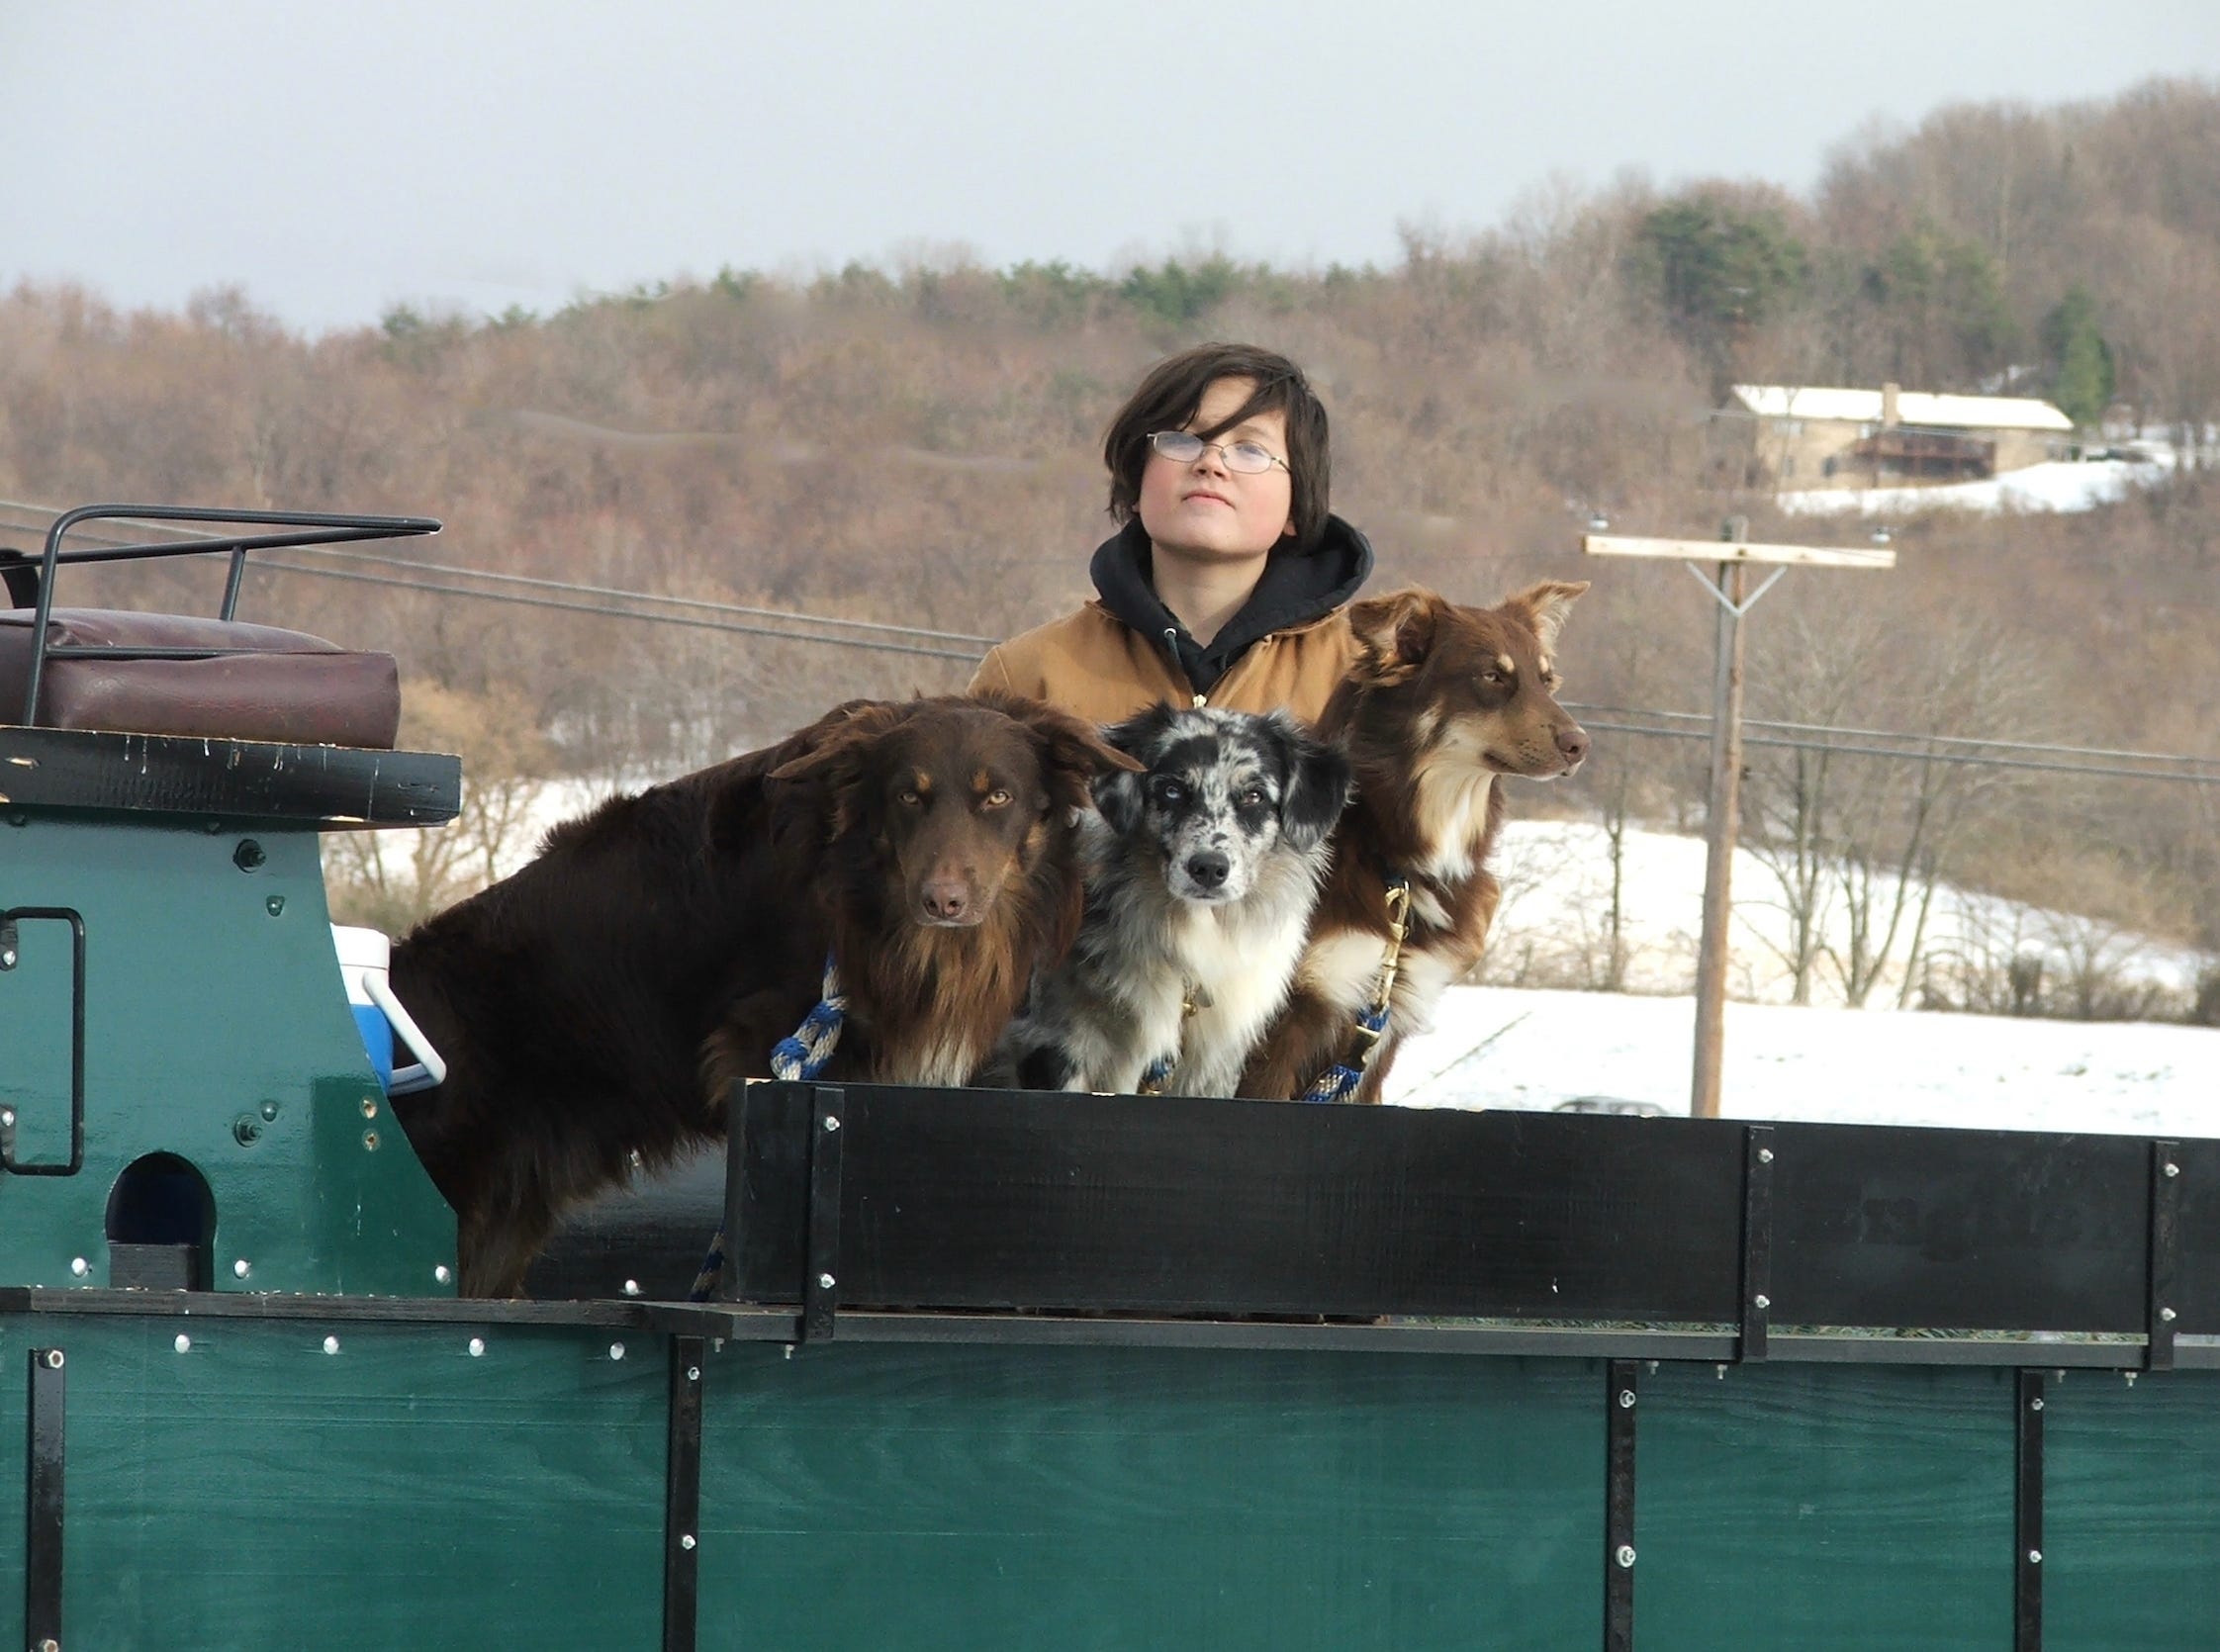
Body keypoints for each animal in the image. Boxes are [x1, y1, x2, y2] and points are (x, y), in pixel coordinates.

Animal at [1239, 583, 1590, 1104]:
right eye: (1491, 676)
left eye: (1547, 681)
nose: (1579, 745)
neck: (1390, 856)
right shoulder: (1283, 1022)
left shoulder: (1382, 1032)